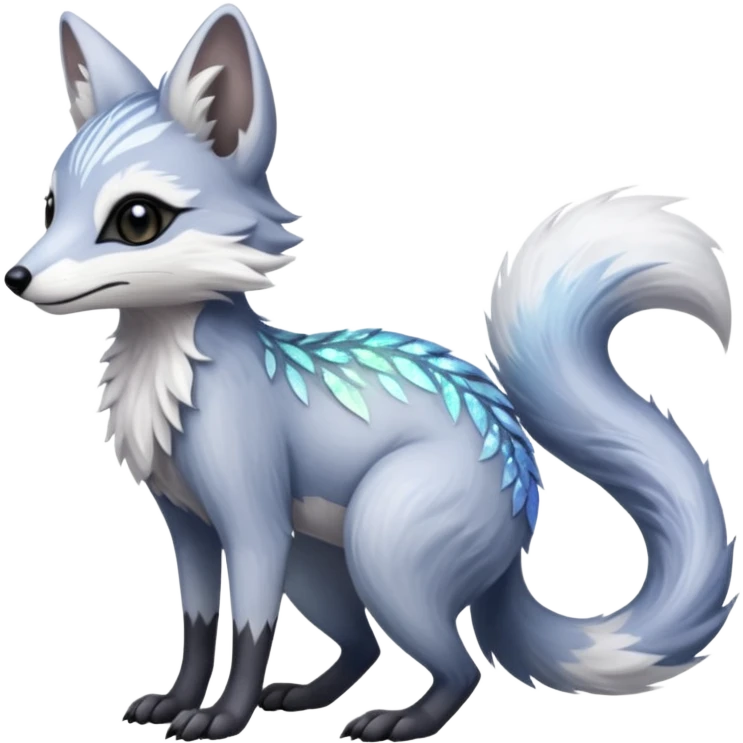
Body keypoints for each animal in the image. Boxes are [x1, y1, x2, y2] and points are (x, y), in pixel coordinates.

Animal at [4, 4, 737, 743]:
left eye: (137, 219)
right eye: (50, 207)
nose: (17, 277)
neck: (168, 376)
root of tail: (521, 486)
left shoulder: (253, 520)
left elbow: (248, 629)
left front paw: (223, 717)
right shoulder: (187, 524)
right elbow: (199, 625)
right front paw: (178, 701)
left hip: (378, 545)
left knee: (460, 667)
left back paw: (400, 720)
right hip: (316, 561)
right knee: (364, 647)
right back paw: (308, 694)